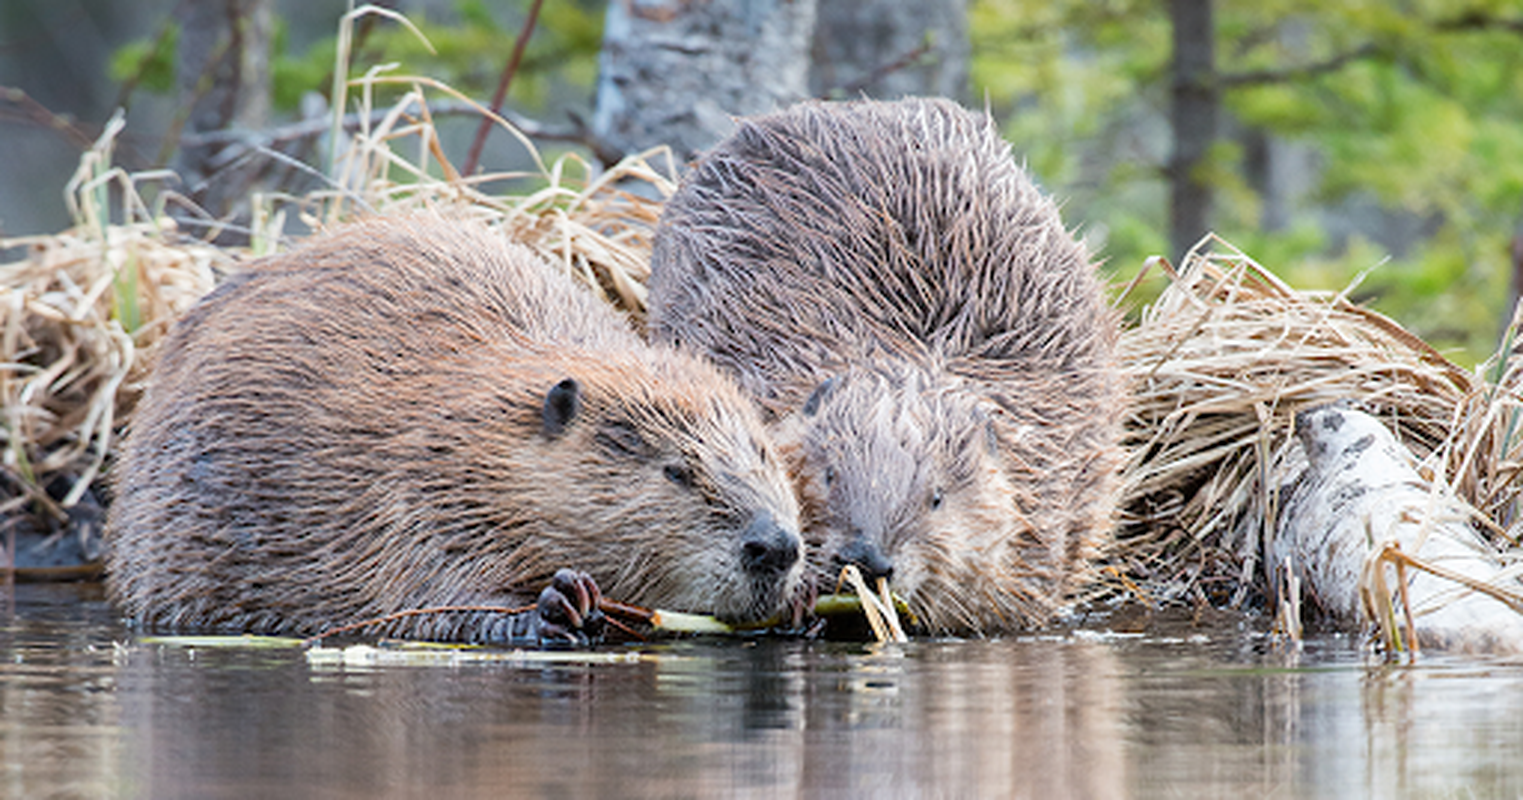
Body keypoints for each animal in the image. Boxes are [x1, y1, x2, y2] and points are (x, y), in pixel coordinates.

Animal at [107, 211, 810, 643]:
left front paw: (803, 606)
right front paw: (557, 608)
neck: (491, 430)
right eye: (676, 470)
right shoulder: (420, 492)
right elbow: (429, 599)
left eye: (764, 456)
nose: (774, 546)